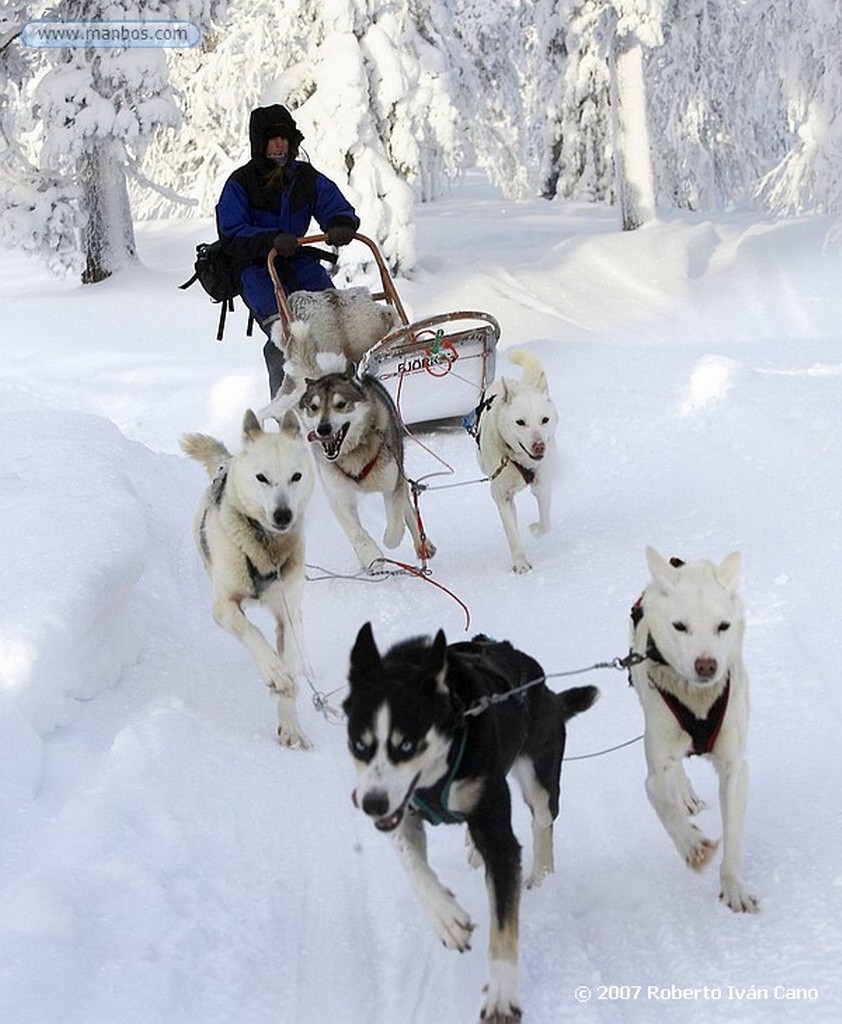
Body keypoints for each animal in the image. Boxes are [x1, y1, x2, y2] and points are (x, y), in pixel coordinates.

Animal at [630, 544, 762, 913]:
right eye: (680, 626)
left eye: (723, 626)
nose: (706, 665)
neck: (698, 702)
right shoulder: (654, 773)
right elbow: (664, 804)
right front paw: (693, 846)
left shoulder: (735, 768)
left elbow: (733, 833)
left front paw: (733, 886)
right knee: (675, 776)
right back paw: (686, 797)